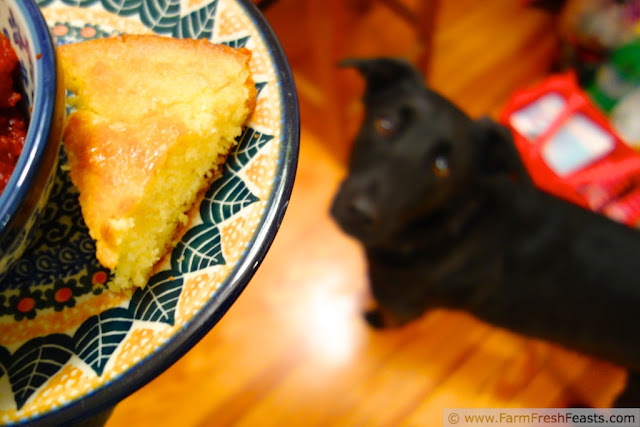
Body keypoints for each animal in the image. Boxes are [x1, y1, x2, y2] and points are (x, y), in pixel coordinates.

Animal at [332, 57, 640, 408]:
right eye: (386, 124)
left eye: (442, 166)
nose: (359, 213)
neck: (455, 223)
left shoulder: (401, 306)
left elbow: (389, 316)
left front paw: (372, 319)